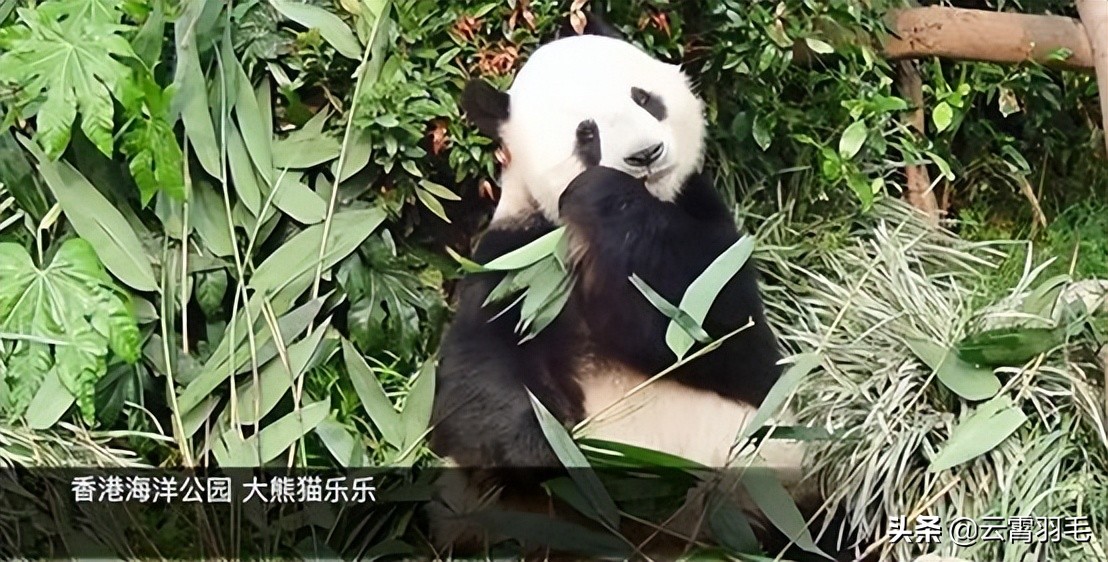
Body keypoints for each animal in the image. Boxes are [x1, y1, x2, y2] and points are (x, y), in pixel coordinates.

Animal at [427, 9, 850, 562]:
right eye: (586, 133)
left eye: (644, 98)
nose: (646, 154)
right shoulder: (517, 258)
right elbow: (474, 375)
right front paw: (548, 447)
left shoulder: (706, 229)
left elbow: (724, 335)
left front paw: (606, 197)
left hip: (780, 489)